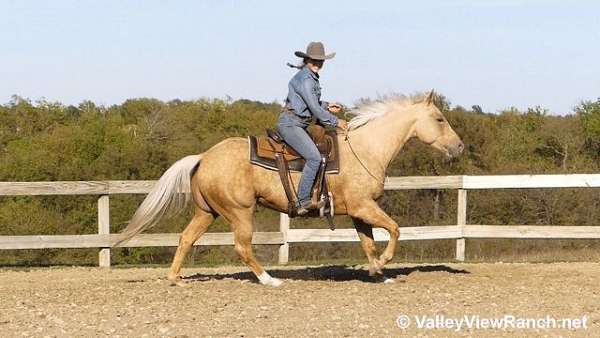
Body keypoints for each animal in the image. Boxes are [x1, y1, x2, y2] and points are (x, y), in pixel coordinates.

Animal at [116, 91, 464, 286]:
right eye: (439, 118)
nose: (459, 147)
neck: (365, 149)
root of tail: (204, 156)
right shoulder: (365, 207)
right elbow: (394, 229)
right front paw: (385, 263)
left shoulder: (358, 213)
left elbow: (368, 244)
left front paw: (380, 272)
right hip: (240, 212)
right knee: (242, 247)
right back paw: (269, 280)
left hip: (207, 212)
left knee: (186, 238)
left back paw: (175, 279)